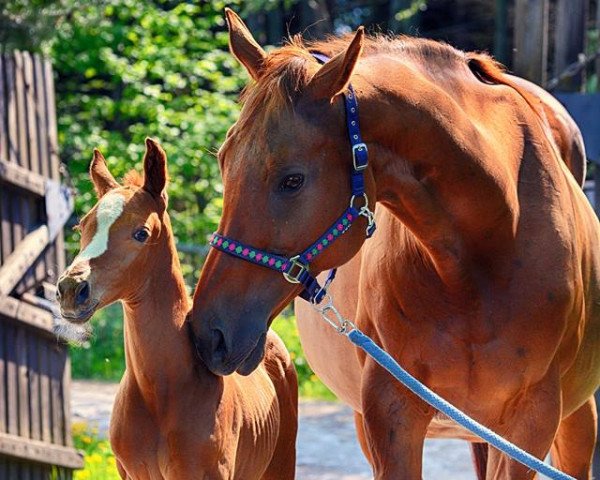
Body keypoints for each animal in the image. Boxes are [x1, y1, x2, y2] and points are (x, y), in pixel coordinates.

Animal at [189, 8, 600, 480]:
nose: (209, 334)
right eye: (223, 161)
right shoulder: (391, 411)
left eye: (292, 180)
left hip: (572, 420)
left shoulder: (530, 423)